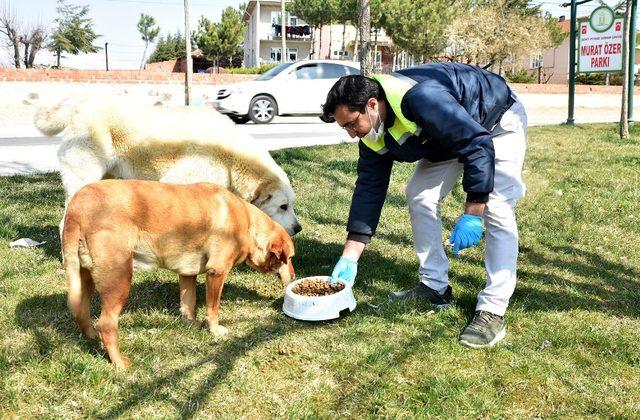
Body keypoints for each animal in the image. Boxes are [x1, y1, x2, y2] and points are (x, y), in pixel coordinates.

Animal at [61, 179, 296, 370]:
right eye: (290, 258)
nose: (294, 276)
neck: (248, 222)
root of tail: (77, 206)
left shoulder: (187, 274)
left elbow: (188, 302)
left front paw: (190, 324)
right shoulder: (217, 272)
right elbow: (213, 309)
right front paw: (214, 330)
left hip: (86, 278)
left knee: (81, 312)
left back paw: (93, 338)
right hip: (119, 278)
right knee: (107, 324)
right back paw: (119, 362)